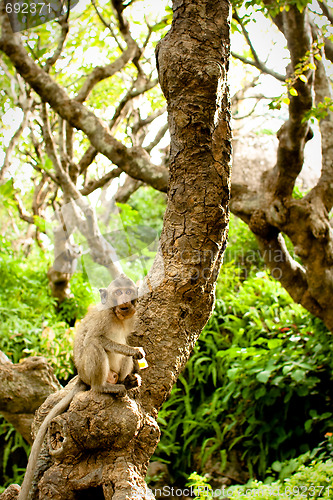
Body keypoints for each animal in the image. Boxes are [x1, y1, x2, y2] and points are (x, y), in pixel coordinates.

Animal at [17, 276, 143, 498]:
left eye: (128, 291)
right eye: (118, 293)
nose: (125, 302)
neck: (117, 317)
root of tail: (82, 378)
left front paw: (135, 363)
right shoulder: (103, 316)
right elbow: (98, 339)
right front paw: (133, 350)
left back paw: (126, 383)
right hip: (89, 371)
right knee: (94, 344)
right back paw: (104, 388)